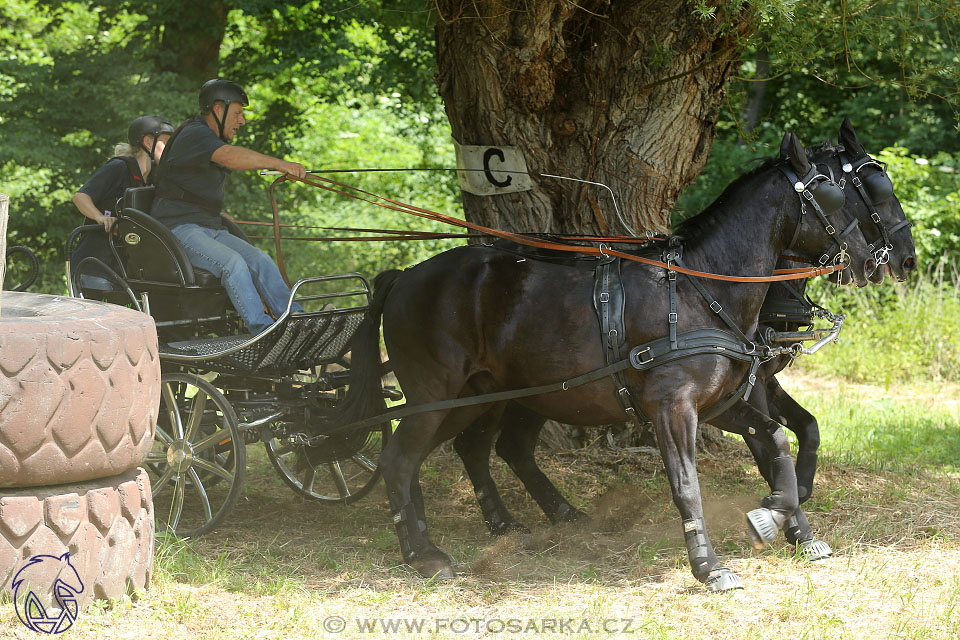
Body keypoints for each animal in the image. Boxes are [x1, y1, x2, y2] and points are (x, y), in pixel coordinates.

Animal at [336, 132, 876, 592]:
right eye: (834, 193)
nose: (869, 257)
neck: (701, 287)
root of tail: (405, 276)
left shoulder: (721, 404)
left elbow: (777, 442)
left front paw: (776, 516)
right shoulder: (672, 408)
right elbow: (687, 485)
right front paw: (708, 567)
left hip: (482, 396)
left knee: (461, 450)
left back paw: (510, 522)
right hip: (438, 396)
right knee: (399, 459)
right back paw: (423, 554)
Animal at [450, 119, 916, 564]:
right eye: (868, 189)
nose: (900, 258)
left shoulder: (753, 381)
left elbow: (804, 428)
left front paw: (796, 511)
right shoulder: (743, 386)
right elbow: (768, 447)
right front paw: (787, 517)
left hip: (541, 391)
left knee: (508, 446)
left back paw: (557, 514)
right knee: (478, 444)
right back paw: (506, 522)